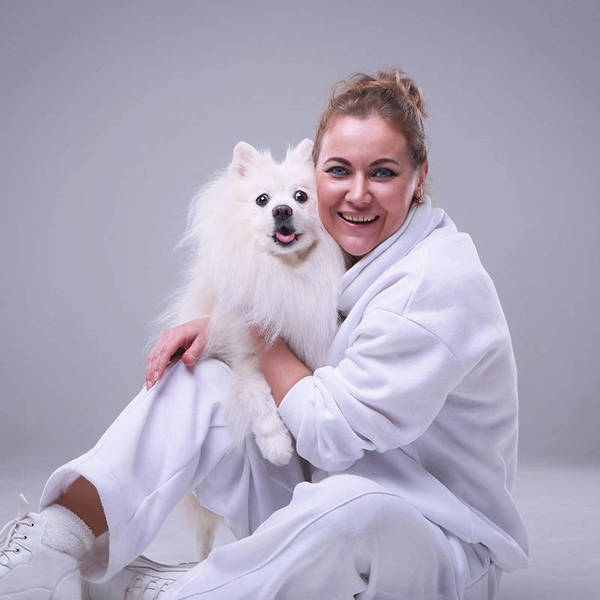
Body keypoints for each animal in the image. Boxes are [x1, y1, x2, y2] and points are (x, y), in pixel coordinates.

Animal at [156, 138, 345, 558]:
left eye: (300, 196)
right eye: (262, 200)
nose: (281, 210)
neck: (289, 274)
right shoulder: (245, 359)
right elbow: (259, 398)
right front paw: (276, 446)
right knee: (205, 536)